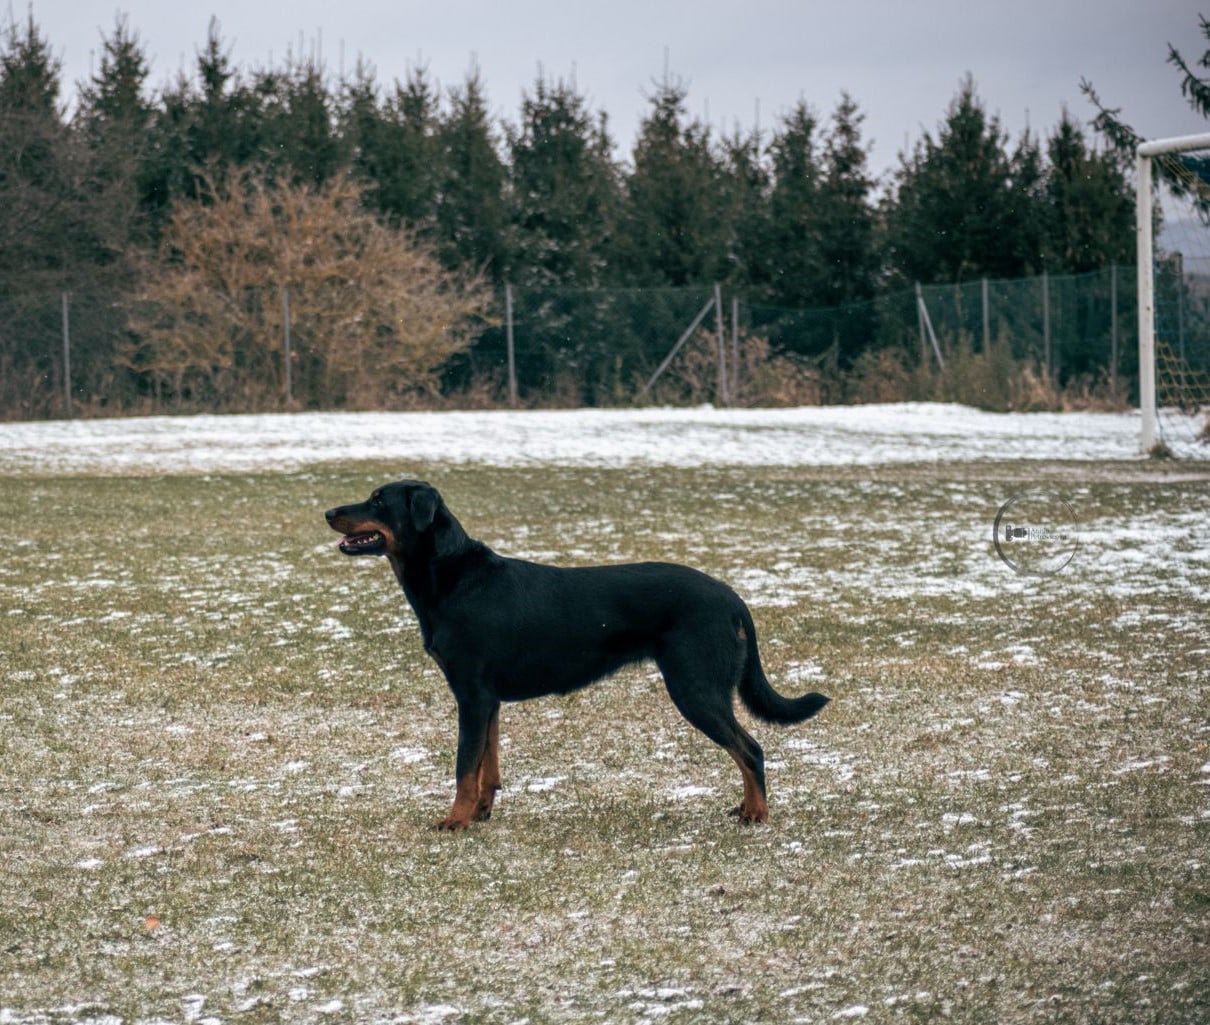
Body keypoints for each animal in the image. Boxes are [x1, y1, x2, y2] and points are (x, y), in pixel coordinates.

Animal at [324, 484, 832, 832]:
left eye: (378, 502)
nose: (328, 512)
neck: (450, 576)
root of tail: (732, 598)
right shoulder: (487, 700)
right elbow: (488, 765)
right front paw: (483, 813)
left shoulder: (471, 695)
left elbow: (464, 767)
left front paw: (456, 821)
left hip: (696, 690)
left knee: (751, 749)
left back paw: (756, 814)